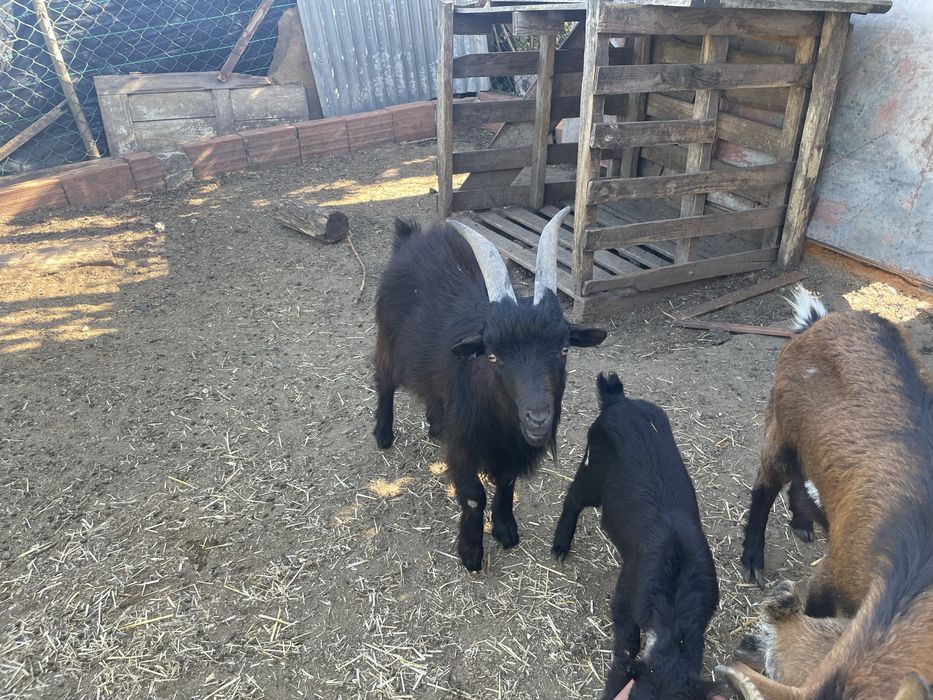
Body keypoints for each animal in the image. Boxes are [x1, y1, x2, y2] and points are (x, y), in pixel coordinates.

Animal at [373, 207, 607, 571]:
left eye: (564, 349)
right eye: (494, 355)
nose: (538, 417)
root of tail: (410, 236)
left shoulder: (508, 449)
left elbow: (506, 481)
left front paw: (505, 528)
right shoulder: (465, 445)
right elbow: (472, 496)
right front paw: (471, 552)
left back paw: (435, 426)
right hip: (388, 338)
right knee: (384, 381)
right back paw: (383, 435)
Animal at [552, 373, 722, 700]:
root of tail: (619, 400)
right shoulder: (624, 598)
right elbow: (626, 648)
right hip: (593, 470)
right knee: (573, 498)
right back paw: (559, 546)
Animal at [721, 287, 933, 699]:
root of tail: (819, 321)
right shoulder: (832, 572)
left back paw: (803, 523)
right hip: (781, 426)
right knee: (765, 487)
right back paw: (753, 559)